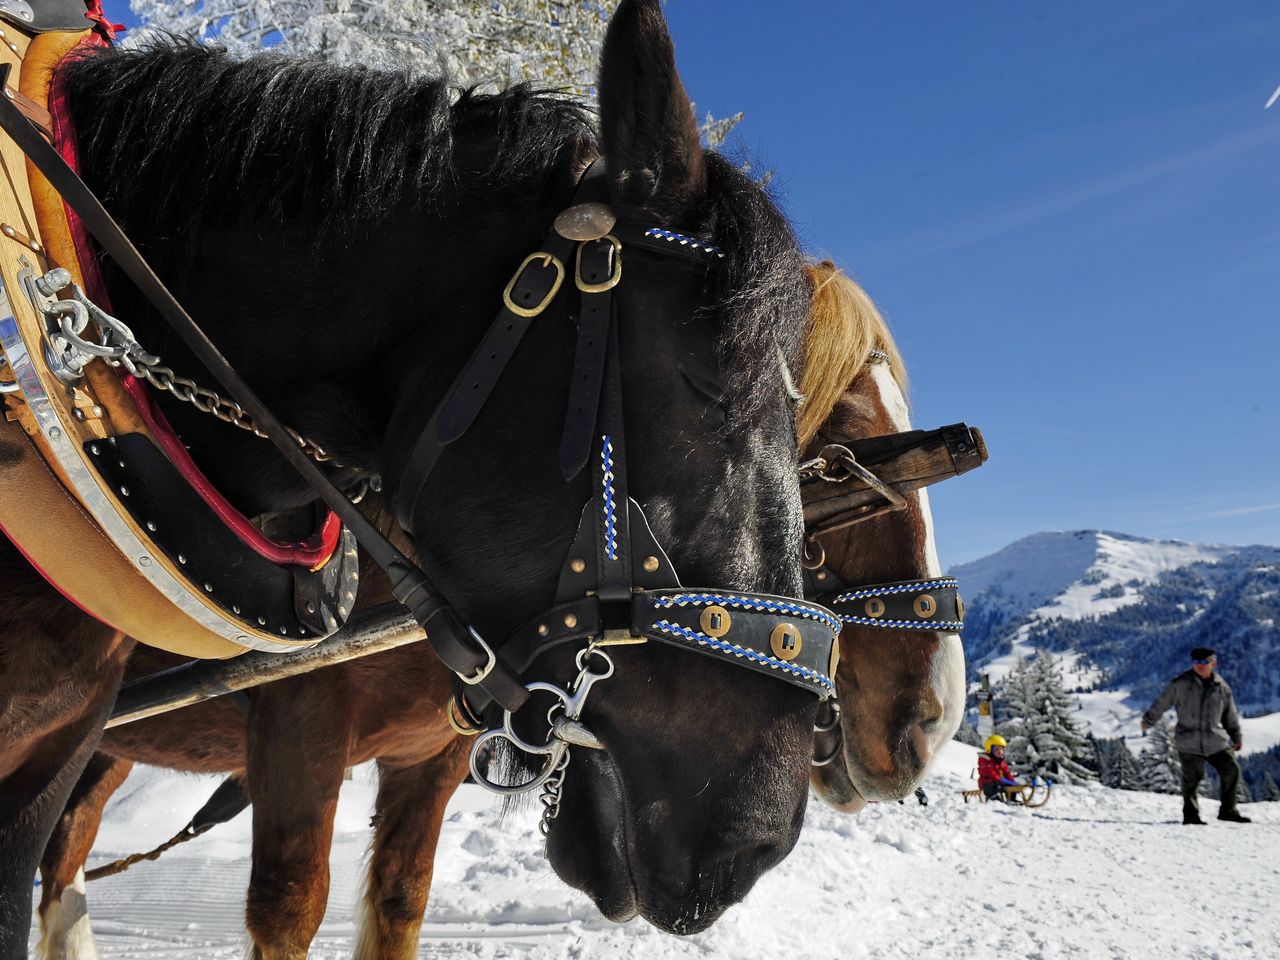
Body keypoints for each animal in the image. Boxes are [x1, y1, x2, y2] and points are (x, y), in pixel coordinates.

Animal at [30, 263, 962, 960]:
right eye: (843, 458)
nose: (932, 720)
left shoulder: (428, 757)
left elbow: (399, 901)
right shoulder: (299, 729)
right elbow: (290, 909)